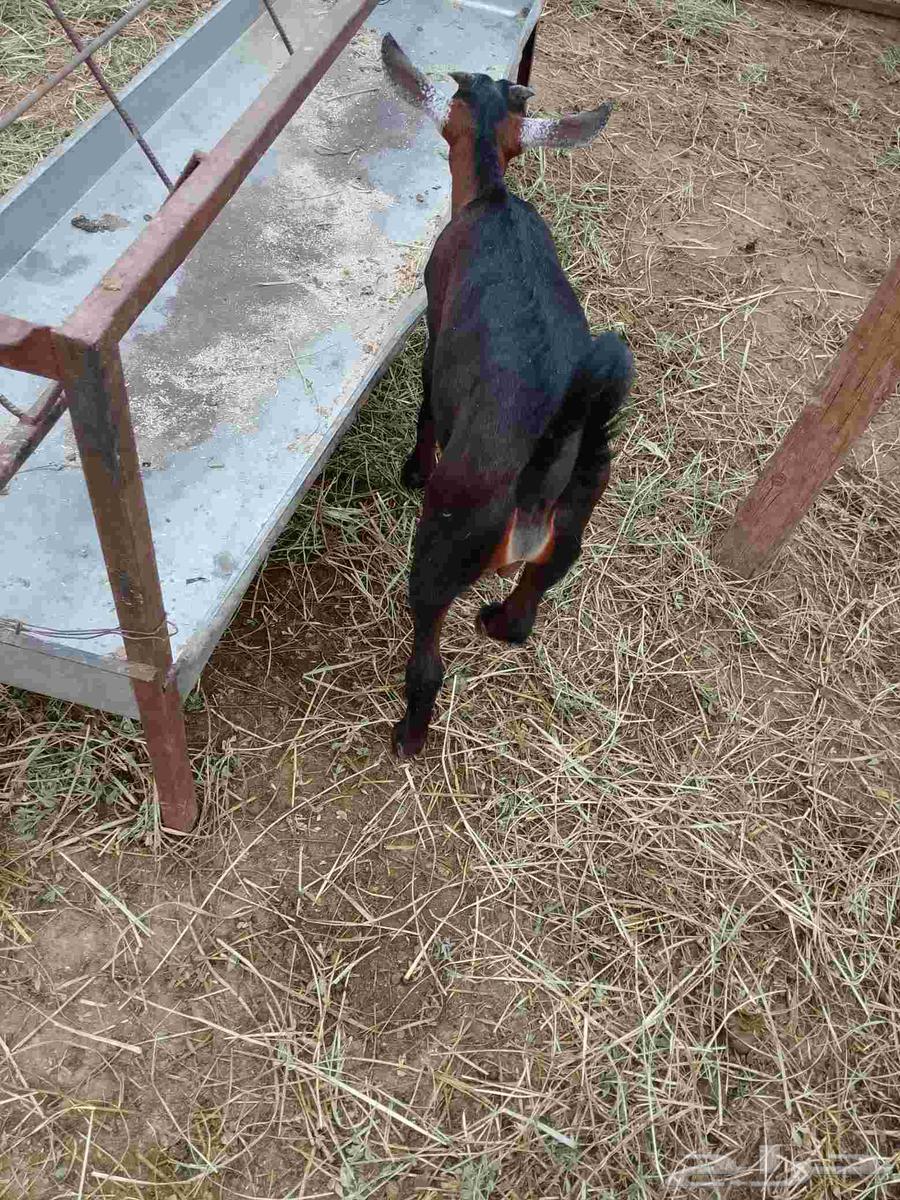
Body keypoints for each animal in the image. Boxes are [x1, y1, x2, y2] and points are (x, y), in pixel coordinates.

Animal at [381, 34, 633, 759]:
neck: (493, 195)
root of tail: (538, 482)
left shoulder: (436, 328)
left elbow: (426, 408)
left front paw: (411, 470)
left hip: (442, 546)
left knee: (427, 659)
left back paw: (407, 736)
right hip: (571, 532)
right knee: (525, 614)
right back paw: (498, 620)